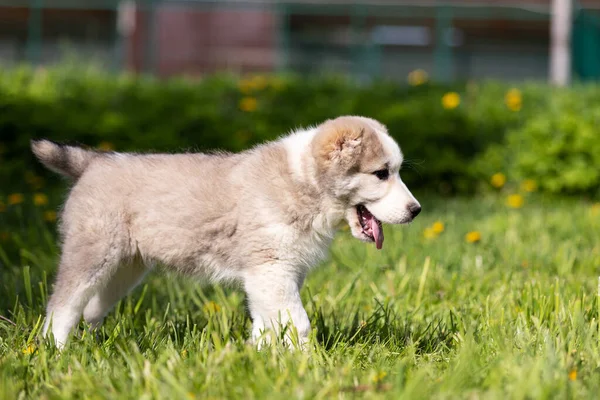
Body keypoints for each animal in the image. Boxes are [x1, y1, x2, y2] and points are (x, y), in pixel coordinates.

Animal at [30, 115, 420, 346]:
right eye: (381, 173)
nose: (416, 211)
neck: (303, 182)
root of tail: (95, 161)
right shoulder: (272, 269)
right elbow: (298, 323)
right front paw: (306, 365)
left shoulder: (274, 275)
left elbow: (268, 322)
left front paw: (261, 358)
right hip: (92, 257)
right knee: (62, 307)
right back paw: (55, 350)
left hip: (125, 269)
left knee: (92, 308)